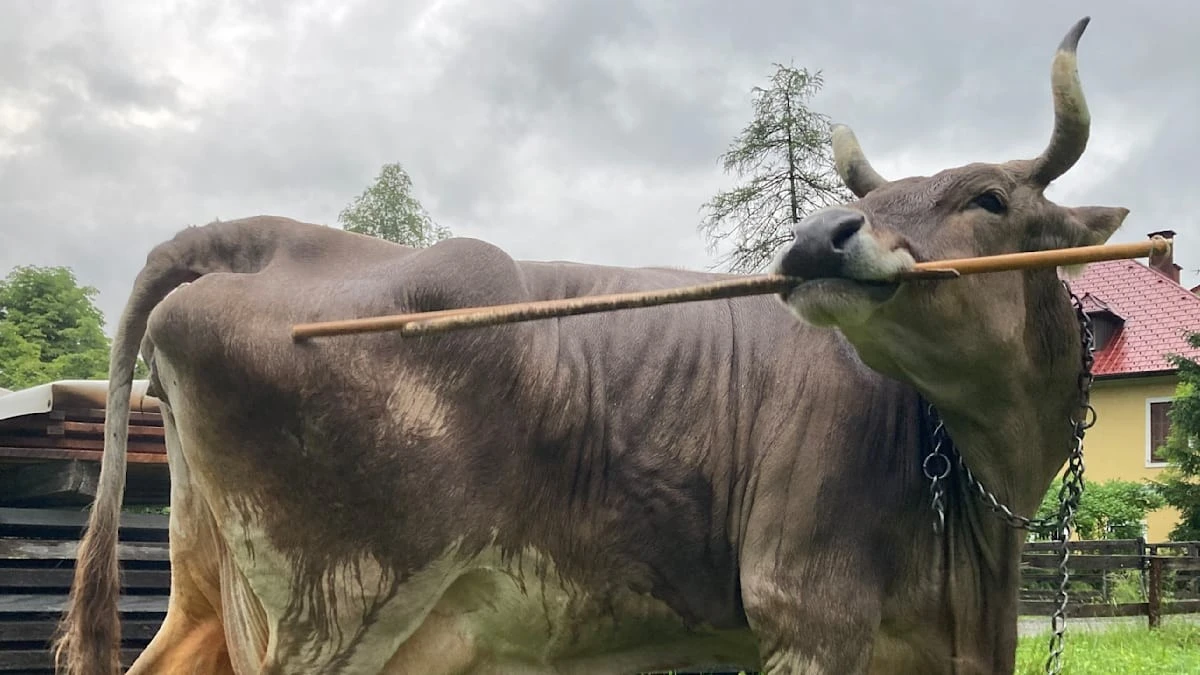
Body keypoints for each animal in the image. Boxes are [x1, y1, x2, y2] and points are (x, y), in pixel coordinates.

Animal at [54, 16, 1124, 675]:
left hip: (208, 586)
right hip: (332, 612)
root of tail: (256, 232)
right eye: (873, 198)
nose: (819, 236)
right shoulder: (809, 617)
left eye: (989, 197)